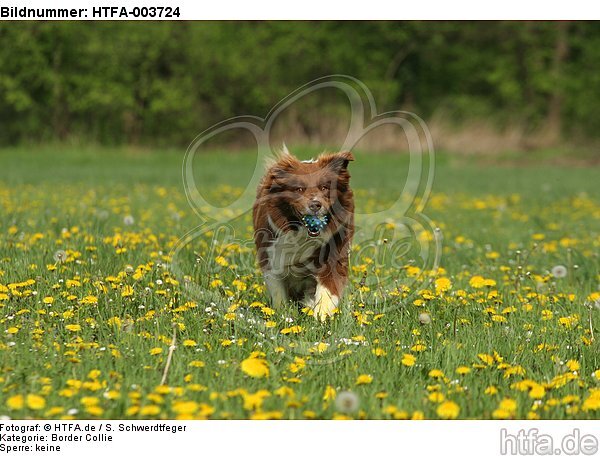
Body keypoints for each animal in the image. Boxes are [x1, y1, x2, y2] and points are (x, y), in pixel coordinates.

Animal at [252, 146, 354, 320]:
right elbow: (278, 291)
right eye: (299, 189)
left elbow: (328, 287)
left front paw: (320, 315)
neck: (301, 234)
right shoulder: (270, 256)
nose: (315, 205)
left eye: (324, 187)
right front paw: (283, 314)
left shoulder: (334, 251)